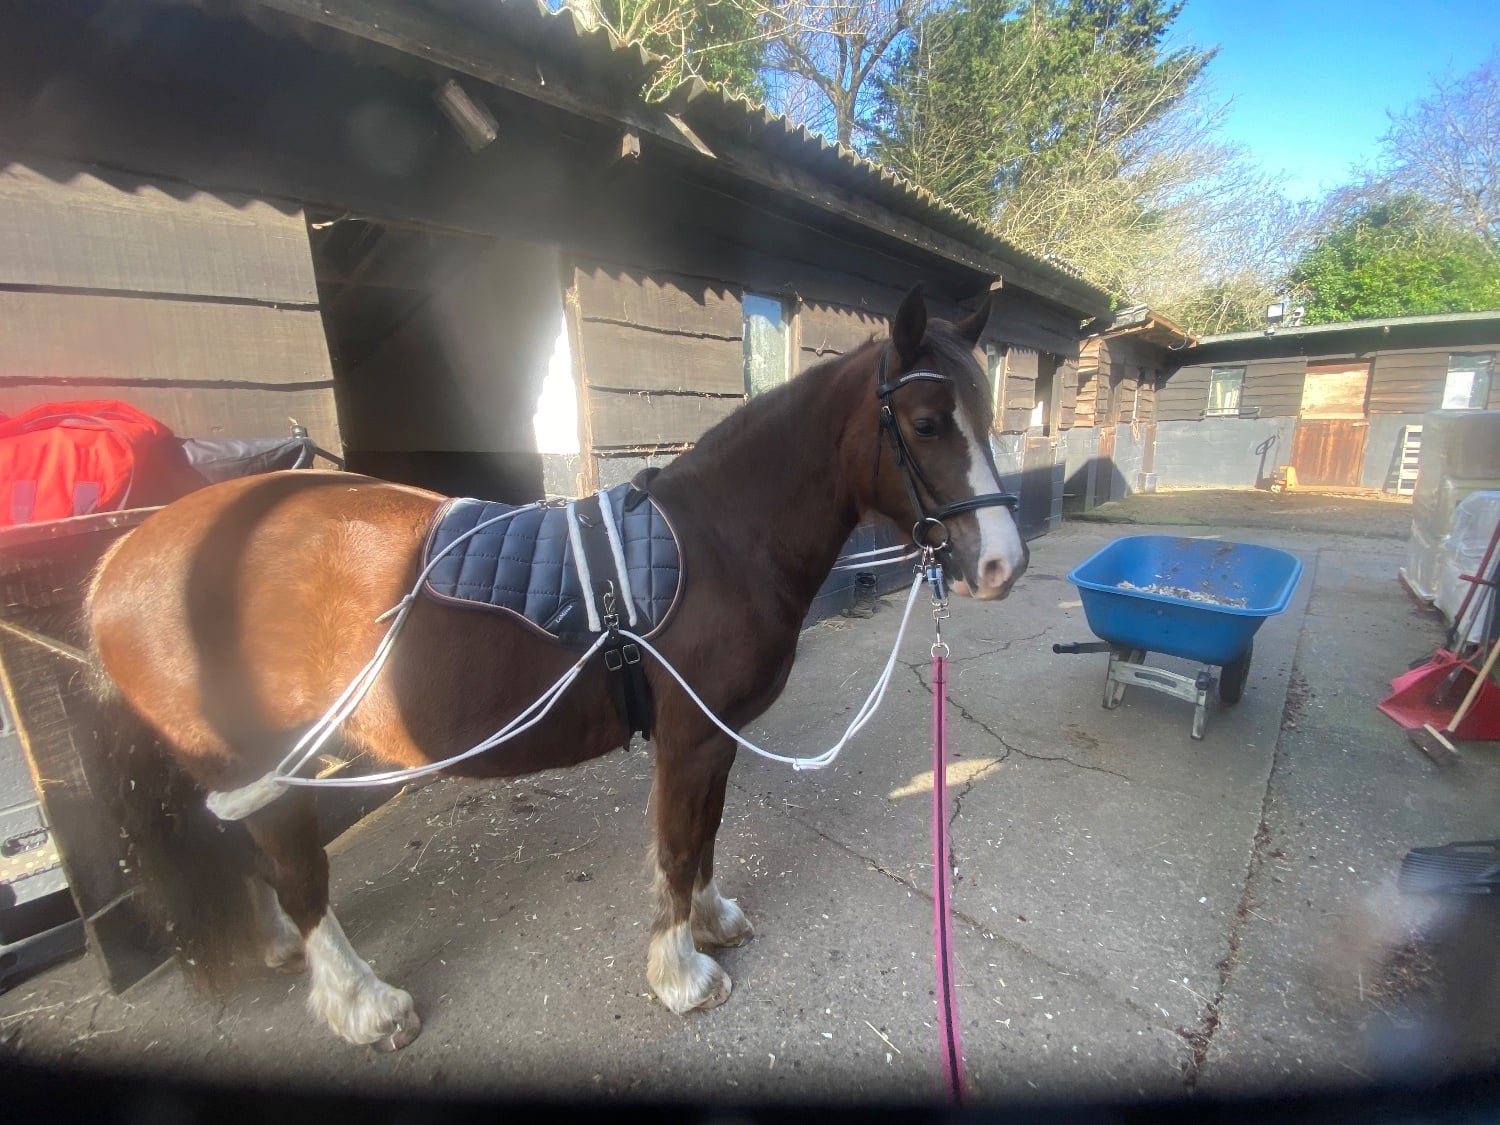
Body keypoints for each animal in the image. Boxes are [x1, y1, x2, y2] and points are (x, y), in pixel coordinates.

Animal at [86, 286, 1029, 1050]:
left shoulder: (714, 737)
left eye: (987, 412)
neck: (719, 541)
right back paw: (364, 1003)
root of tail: (123, 562)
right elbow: (679, 845)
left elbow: (706, 837)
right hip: (265, 763)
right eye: (926, 423)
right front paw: (680, 974)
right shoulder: (689, 740)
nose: (1003, 565)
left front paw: (711, 922)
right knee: (301, 879)